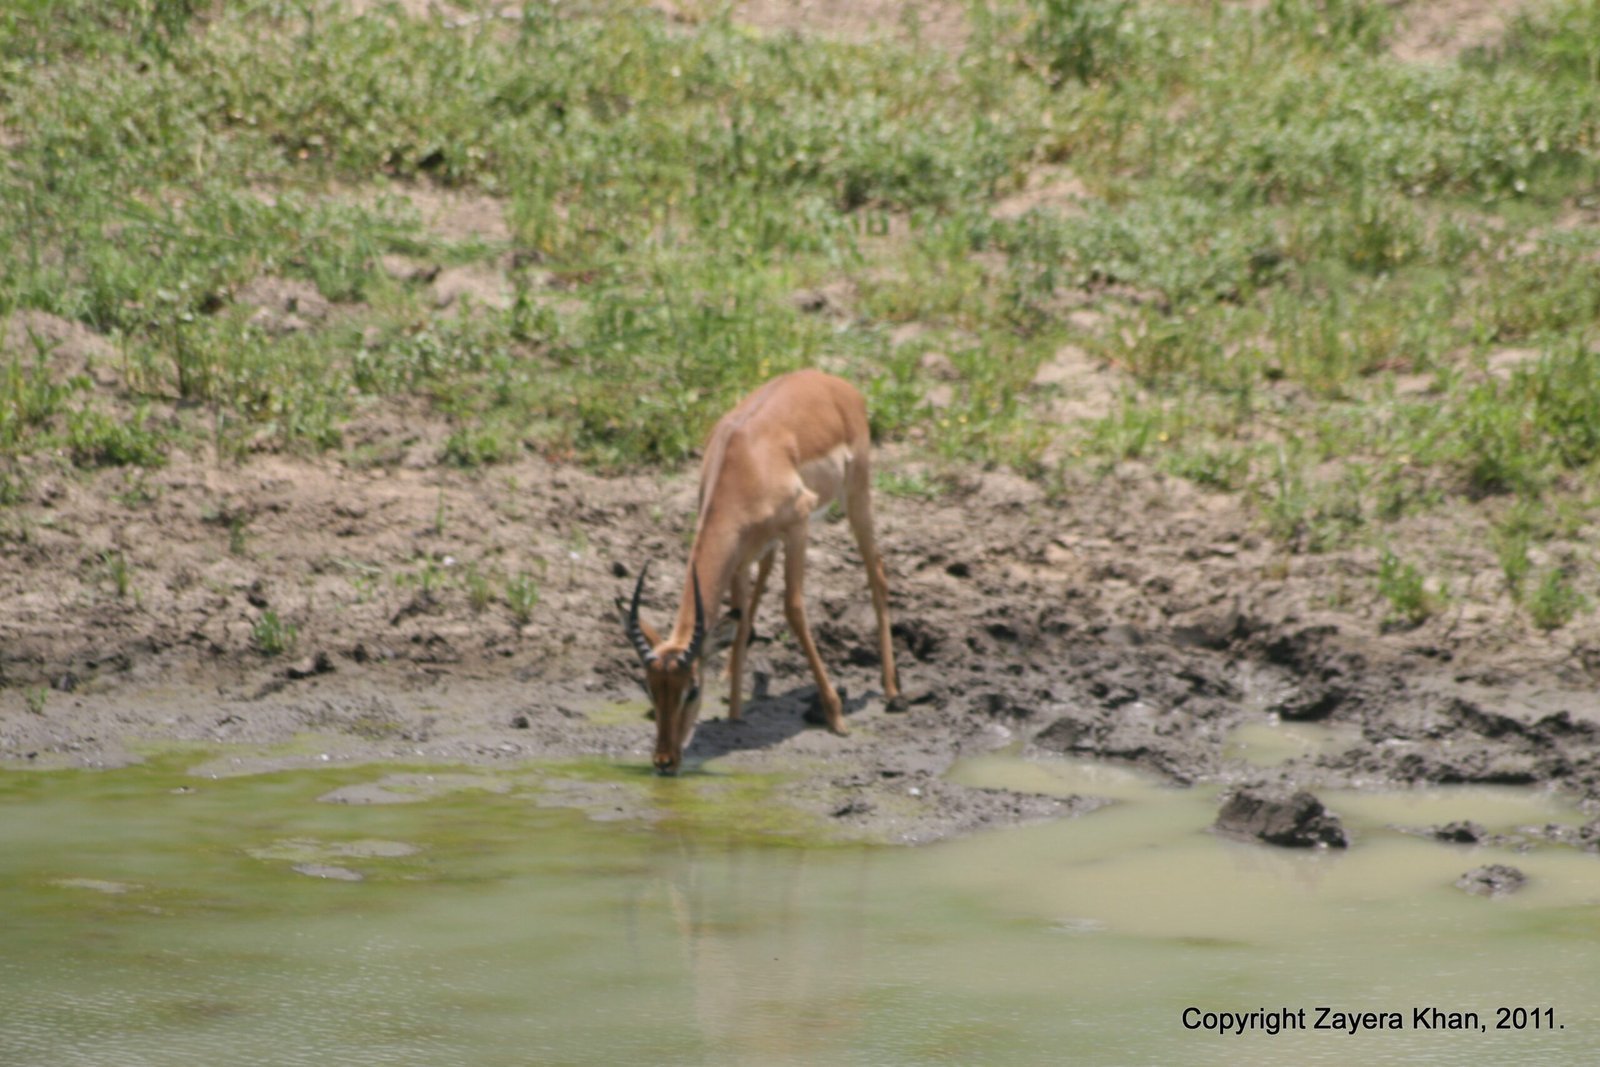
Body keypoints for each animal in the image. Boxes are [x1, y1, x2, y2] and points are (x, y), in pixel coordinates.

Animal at [622, 369, 903, 775]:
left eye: (692, 688)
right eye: (649, 686)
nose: (664, 761)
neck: (742, 462)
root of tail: (831, 381)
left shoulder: (798, 525)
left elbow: (794, 609)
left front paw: (835, 716)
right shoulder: (739, 559)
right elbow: (738, 623)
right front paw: (735, 712)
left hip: (856, 496)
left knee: (876, 571)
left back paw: (892, 692)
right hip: (767, 544)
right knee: (758, 590)